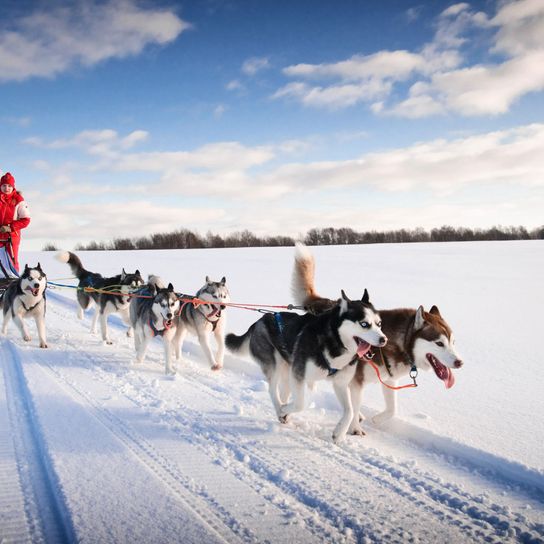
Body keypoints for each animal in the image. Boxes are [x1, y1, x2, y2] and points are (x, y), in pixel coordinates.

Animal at [225, 288, 386, 442]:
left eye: (379, 324)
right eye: (364, 324)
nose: (384, 339)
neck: (335, 341)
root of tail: (260, 321)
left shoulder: (339, 383)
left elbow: (350, 410)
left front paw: (339, 433)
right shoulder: (299, 375)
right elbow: (301, 403)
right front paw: (284, 410)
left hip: (288, 370)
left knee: (285, 391)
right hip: (275, 365)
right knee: (272, 390)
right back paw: (280, 409)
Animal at [294, 242, 464, 434]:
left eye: (453, 342)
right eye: (439, 343)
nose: (460, 362)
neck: (396, 343)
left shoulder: (389, 380)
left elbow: (392, 409)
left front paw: (376, 419)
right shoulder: (356, 382)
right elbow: (354, 406)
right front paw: (355, 428)